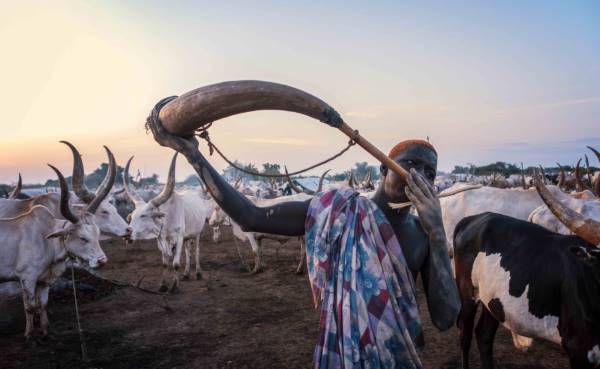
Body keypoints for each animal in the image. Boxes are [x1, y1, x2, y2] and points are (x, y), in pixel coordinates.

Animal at [0, 165, 106, 340]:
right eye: (82, 238)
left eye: (98, 234)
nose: (102, 261)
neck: (46, 240)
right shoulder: (27, 278)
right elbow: (30, 307)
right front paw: (29, 336)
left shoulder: (44, 281)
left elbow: (42, 305)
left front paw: (46, 333)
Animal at [123, 152, 214, 290]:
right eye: (132, 216)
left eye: (144, 215)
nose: (127, 232)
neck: (166, 220)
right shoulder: (161, 240)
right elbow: (165, 263)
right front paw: (163, 285)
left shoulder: (179, 237)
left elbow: (176, 263)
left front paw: (174, 287)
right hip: (187, 237)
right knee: (188, 251)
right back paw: (186, 274)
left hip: (197, 233)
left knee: (196, 251)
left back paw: (198, 273)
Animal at [454, 174, 600, 366]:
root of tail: (471, 219)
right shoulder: (578, 347)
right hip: (468, 294)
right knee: (465, 334)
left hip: (492, 300)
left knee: (484, 335)